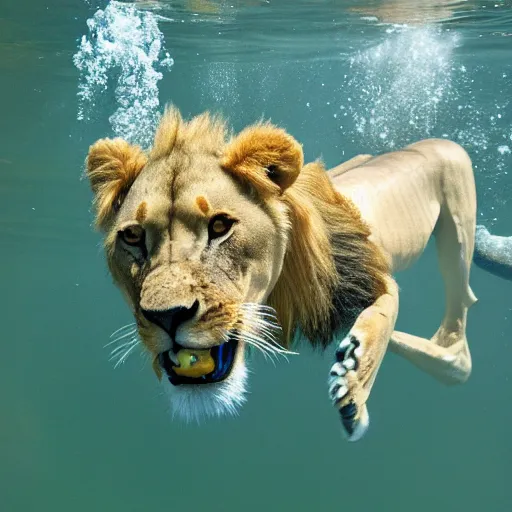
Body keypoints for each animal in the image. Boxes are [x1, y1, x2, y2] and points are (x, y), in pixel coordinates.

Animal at [85, 106, 480, 442]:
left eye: (219, 226)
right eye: (132, 236)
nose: (167, 316)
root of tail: (434, 140)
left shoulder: (370, 275)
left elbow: (382, 319)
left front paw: (353, 386)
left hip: (458, 222)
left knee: (459, 343)